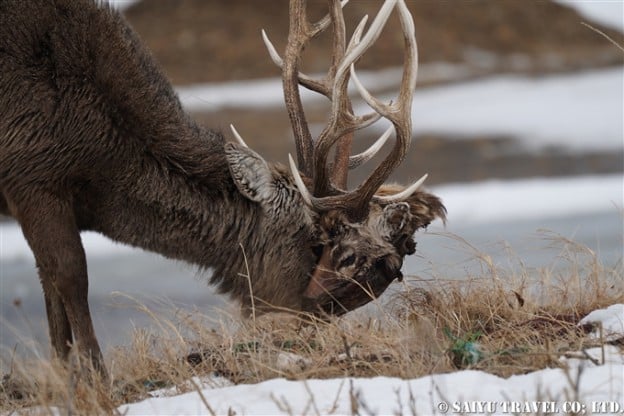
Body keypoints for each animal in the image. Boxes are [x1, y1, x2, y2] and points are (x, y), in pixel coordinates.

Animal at [1, 0, 448, 376]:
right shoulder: (32, 178)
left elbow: (50, 284)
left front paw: (66, 377)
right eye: (324, 242)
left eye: (393, 269)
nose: (313, 312)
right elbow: (70, 277)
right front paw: (94, 380)